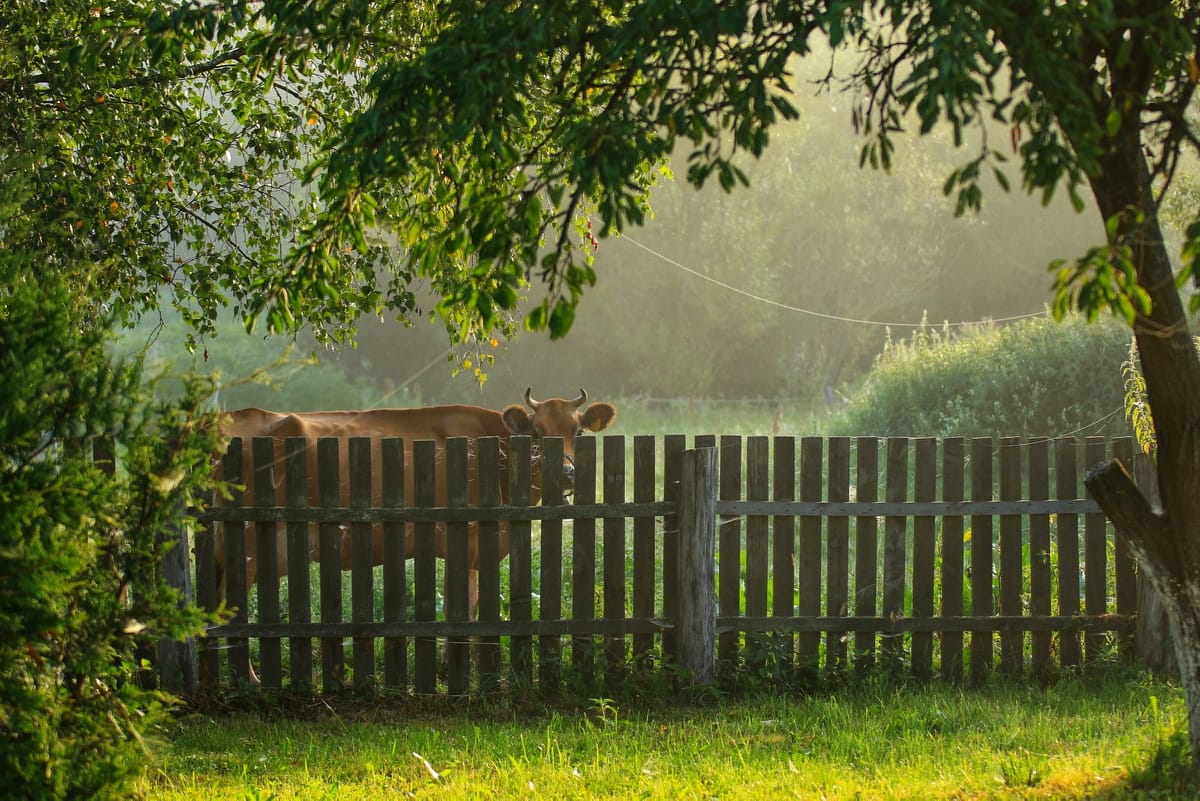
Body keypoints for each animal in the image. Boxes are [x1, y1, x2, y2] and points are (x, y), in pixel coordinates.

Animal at [210, 390, 614, 618]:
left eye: (578, 430)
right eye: (537, 432)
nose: (566, 473)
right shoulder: (465, 542)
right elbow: (462, 610)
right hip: (246, 545)